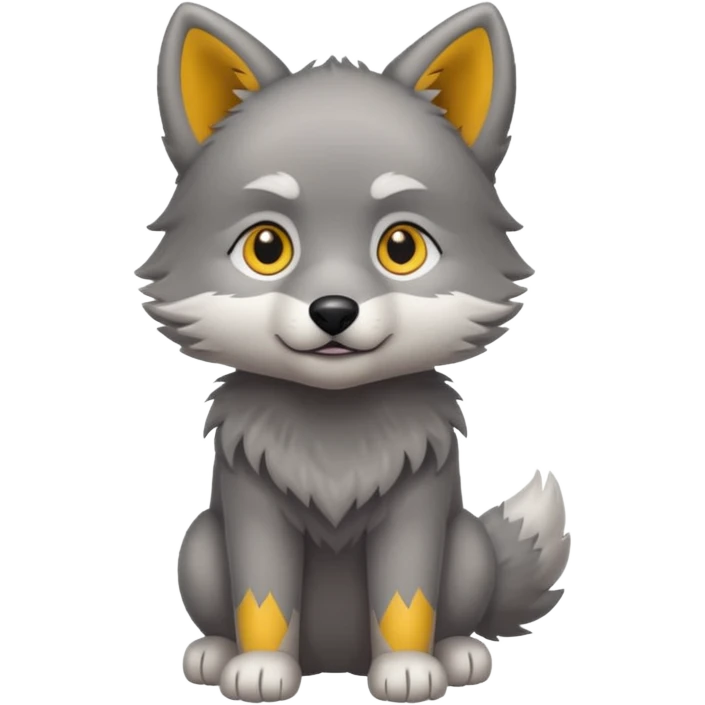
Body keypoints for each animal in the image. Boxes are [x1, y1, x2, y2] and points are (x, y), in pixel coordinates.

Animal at [141, 2, 571, 702]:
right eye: (267, 247)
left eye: (401, 247)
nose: (334, 311)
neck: (335, 430)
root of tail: (334, 659)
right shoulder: (251, 505)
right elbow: (261, 598)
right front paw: (260, 670)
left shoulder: (417, 504)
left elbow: (407, 598)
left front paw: (408, 670)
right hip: (200, 543)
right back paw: (211, 654)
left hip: (468, 545)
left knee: (460, 613)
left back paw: (459, 655)